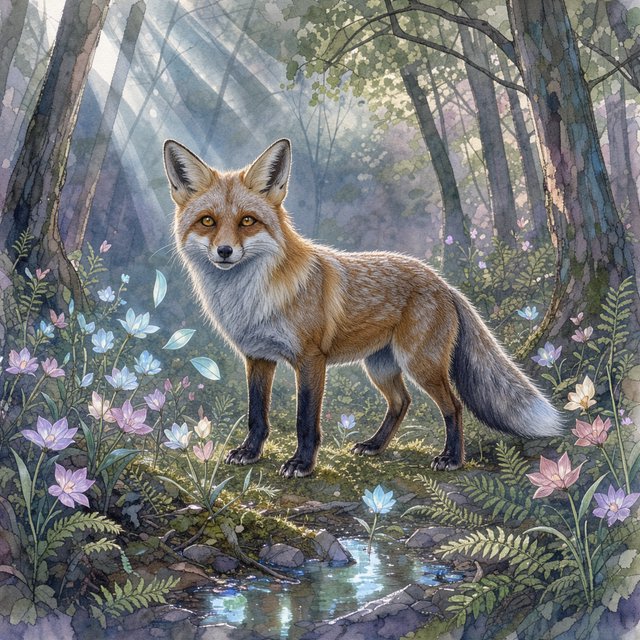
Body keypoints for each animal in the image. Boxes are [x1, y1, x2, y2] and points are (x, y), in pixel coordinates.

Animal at [163, 138, 562, 478]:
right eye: (208, 221)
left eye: (247, 220)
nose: (224, 252)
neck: (250, 300)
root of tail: (444, 283)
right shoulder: (257, 358)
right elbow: (256, 415)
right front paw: (250, 452)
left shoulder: (311, 359)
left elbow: (305, 420)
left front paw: (302, 464)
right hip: (381, 366)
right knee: (401, 403)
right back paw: (375, 445)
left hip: (420, 364)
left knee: (453, 406)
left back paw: (452, 458)